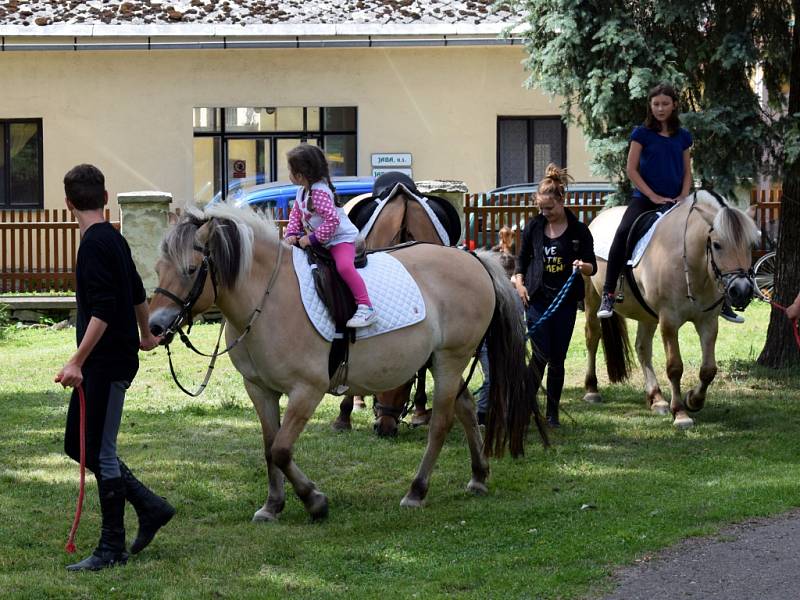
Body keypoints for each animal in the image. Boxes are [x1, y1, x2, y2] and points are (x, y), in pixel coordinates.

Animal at [149, 203, 548, 520]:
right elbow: (268, 448)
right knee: (464, 409)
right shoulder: (260, 390)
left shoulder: (306, 390)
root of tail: (473, 258)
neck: (269, 297)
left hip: (451, 360)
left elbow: (281, 449)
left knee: (441, 423)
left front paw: (314, 501)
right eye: (157, 269)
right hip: (441, 363)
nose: (154, 326)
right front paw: (273, 505)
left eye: (190, 269)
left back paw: (416, 491)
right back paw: (479, 475)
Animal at [580, 190, 756, 428]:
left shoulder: (708, 321)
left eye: (750, 245)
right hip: (592, 296)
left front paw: (693, 400)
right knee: (592, 336)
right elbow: (675, 366)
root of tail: (598, 218)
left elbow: (708, 369)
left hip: (646, 315)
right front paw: (680, 413)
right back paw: (592, 389)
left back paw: (656, 398)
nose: (742, 290)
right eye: (717, 245)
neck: (691, 262)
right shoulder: (669, 321)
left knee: (642, 348)